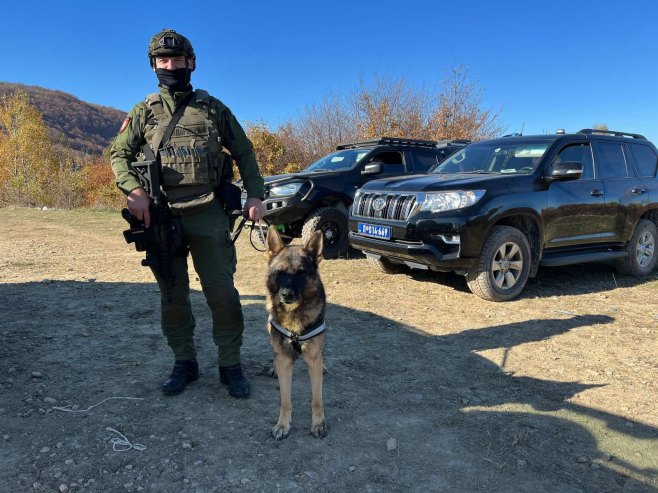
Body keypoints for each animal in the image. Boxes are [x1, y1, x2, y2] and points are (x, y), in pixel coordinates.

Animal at [264, 224, 326, 438]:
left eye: (300, 273)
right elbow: (285, 400)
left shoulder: (313, 359)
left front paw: (318, 424)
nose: (286, 295)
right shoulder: (284, 361)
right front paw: (283, 425)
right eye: (281, 272)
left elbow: (317, 399)